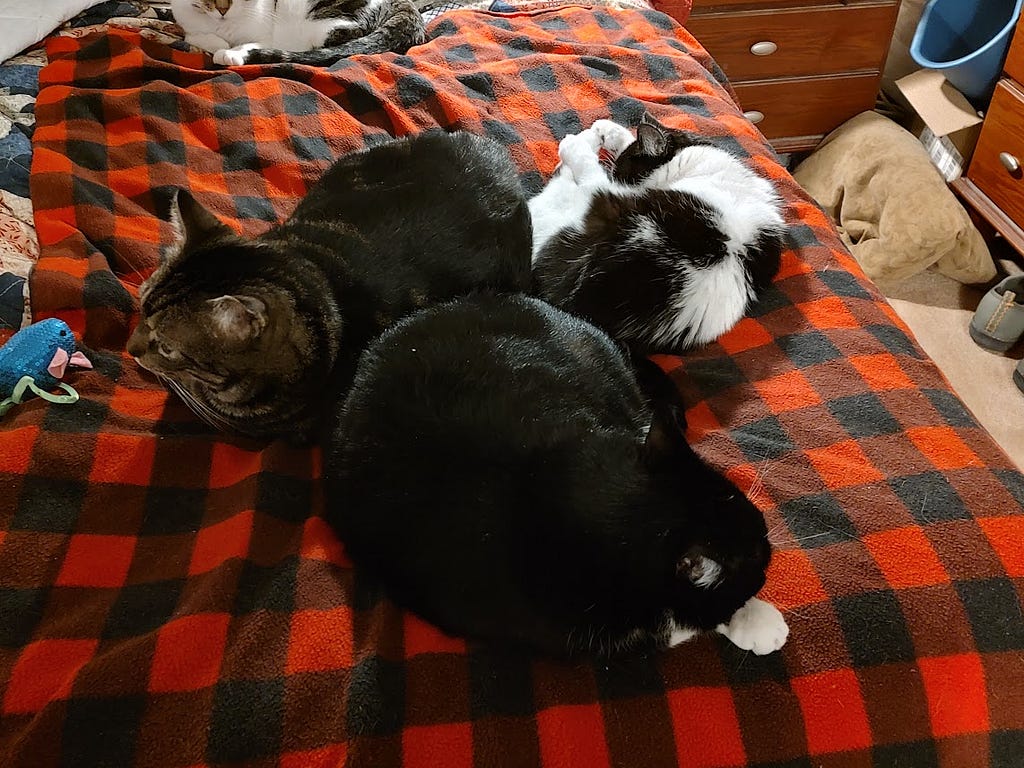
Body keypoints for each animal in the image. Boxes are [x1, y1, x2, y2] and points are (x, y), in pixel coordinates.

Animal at [169, 0, 425, 66]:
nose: (223, 9)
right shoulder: (186, 21)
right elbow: (193, 35)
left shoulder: (267, 34)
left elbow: (255, 43)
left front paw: (231, 52)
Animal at [528, 111, 782, 354]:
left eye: (622, 173)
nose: (617, 177)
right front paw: (607, 129)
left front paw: (586, 140)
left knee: (576, 180)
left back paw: (577, 144)